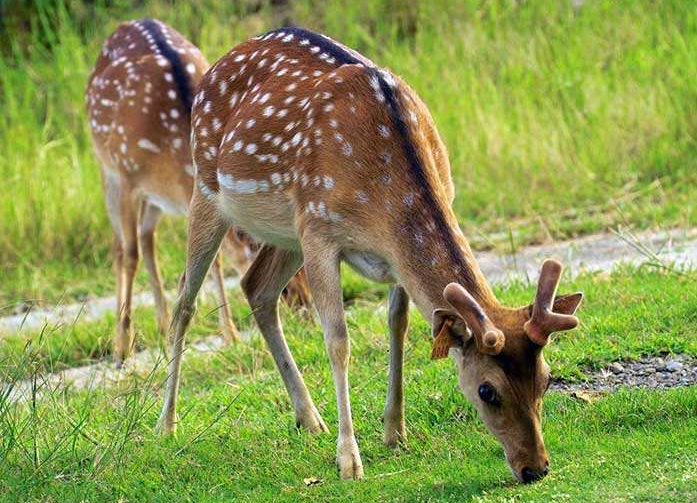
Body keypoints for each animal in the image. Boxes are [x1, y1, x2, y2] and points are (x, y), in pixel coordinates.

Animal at [84, 19, 310, 368]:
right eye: (255, 243)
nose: (302, 303)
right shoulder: (124, 174)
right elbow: (130, 254)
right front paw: (122, 348)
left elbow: (212, 259)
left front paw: (230, 335)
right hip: (105, 167)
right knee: (122, 246)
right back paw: (127, 339)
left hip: (154, 199)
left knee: (147, 236)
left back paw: (163, 324)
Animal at [156, 27, 580, 484]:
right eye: (488, 391)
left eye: (546, 378)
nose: (535, 467)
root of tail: (213, 67)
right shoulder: (320, 231)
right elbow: (338, 341)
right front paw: (349, 461)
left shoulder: (390, 253)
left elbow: (399, 325)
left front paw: (395, 431)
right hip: (208, 191)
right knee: (185, 301)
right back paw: (167, 425)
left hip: (287, 230)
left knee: (257, 287)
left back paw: (309, 418)